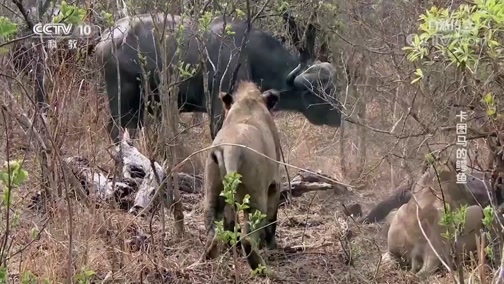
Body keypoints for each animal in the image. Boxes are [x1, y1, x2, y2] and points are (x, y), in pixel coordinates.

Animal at [92, 12, 340, 142]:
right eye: (318, 92)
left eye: (334, 88)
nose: (339, 117)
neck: (248, 54)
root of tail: (107, 39)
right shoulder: (219, 109)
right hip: (122, 99)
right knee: (115, 131)